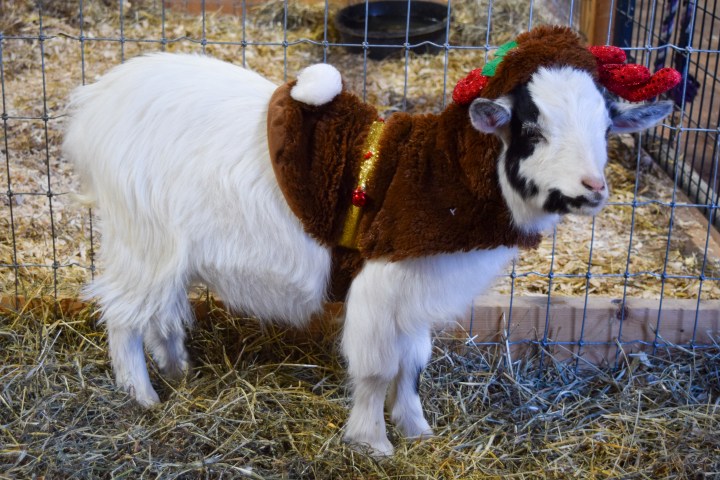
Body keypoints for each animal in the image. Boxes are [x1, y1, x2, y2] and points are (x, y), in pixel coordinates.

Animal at [63, 26, 674, 456]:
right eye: (531, 126)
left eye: (605, 125)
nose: (594, 187)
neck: (440, 173)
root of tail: (93, 105)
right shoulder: (382, 283)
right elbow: (379, 368)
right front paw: (373, 442)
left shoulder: (419, 292)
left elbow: (413, 363)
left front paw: (417, 428)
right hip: (141, 236)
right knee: (122, 315)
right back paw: (142, 394)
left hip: (161, 248)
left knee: (161, 310)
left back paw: (177, 370)